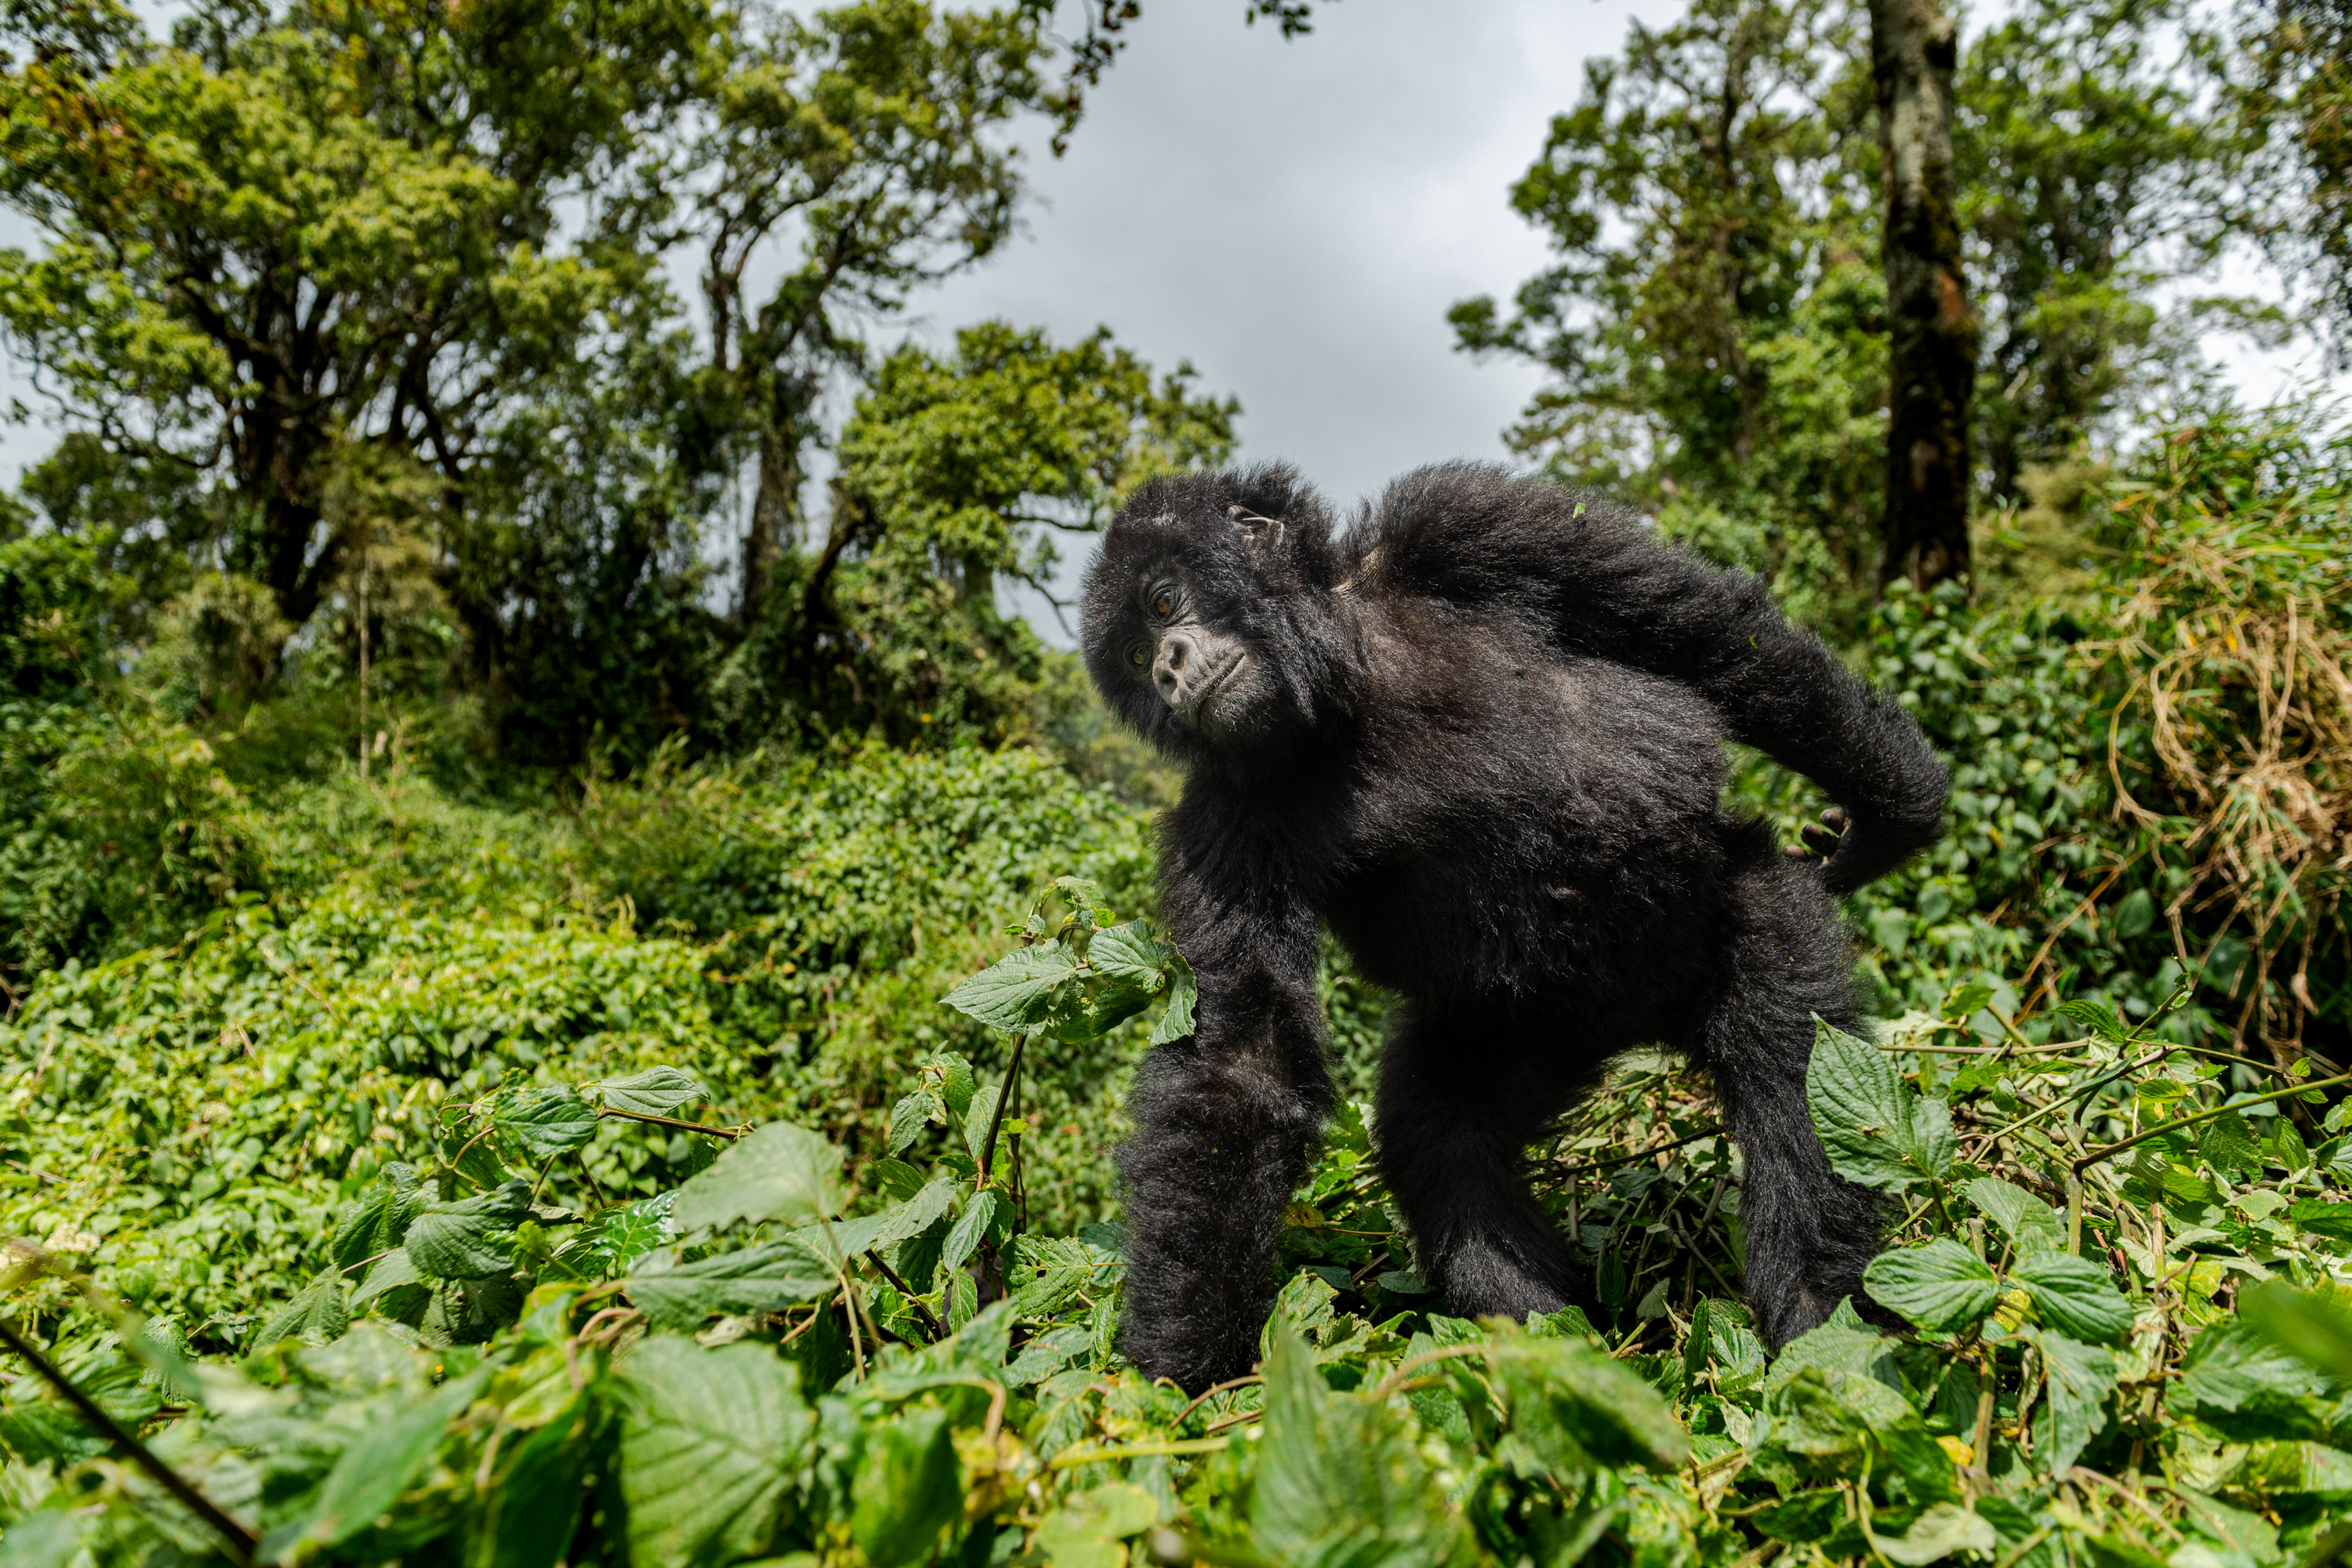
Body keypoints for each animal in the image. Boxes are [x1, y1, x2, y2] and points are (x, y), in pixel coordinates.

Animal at [1077, 460, 1947, 1392]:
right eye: (1134, 657)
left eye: (1164, 601)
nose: (1167, 669)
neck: (1339, 687)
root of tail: (1644, 1028)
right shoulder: (1218, 829)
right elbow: (1244, 1060)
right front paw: (1181, 1378)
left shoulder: (1469, 522)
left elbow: (1707, 634)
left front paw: (1892, 816)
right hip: (1527, 1027)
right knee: (1445, 1144)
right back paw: (1551, 1340)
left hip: (1735, 897)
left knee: (1797, 1066)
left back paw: (1822, 1327)